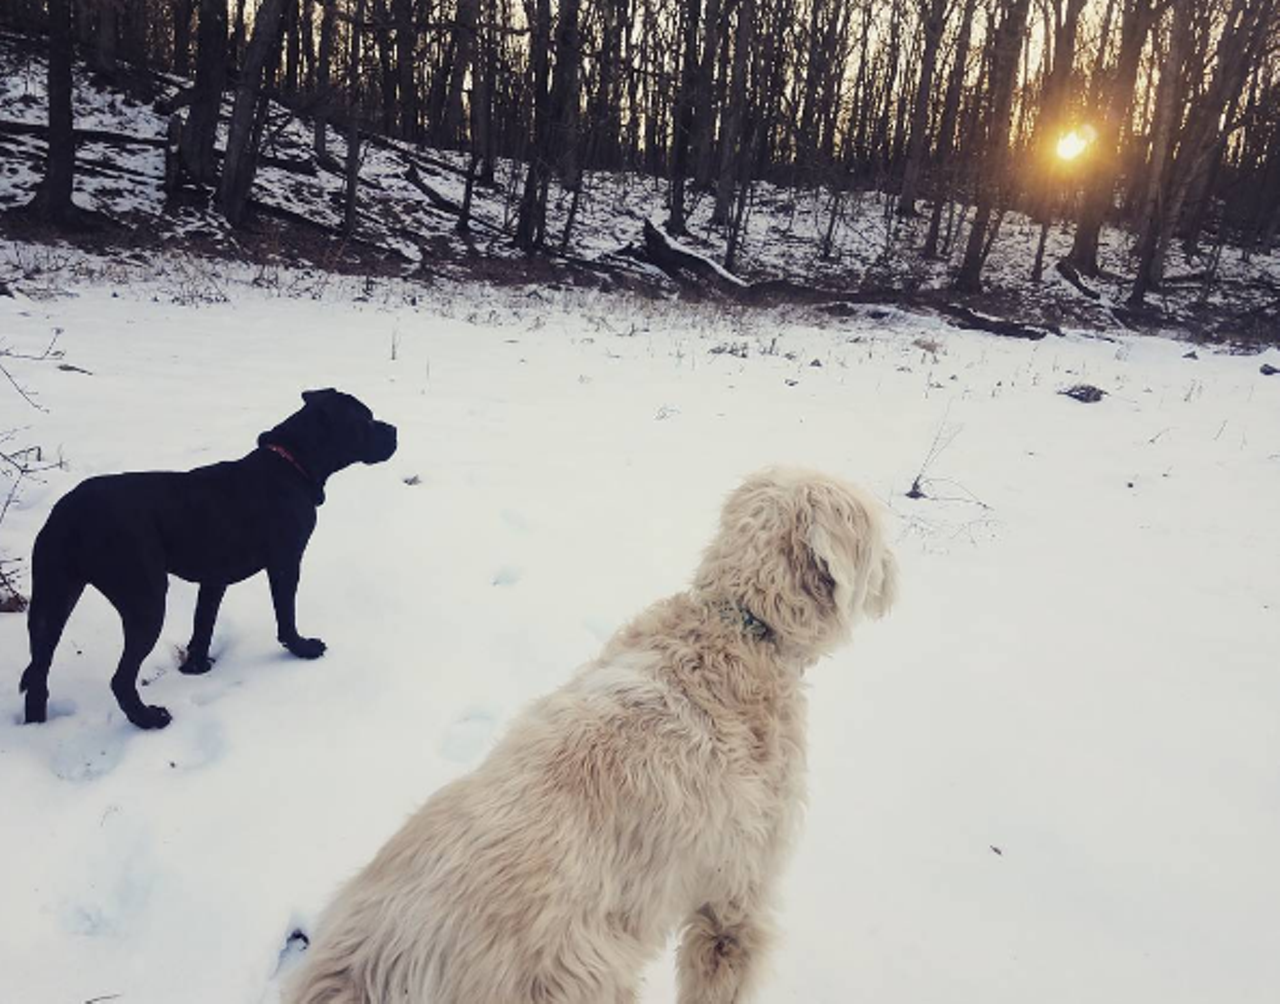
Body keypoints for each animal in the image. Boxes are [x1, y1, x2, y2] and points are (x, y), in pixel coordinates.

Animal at [18, 389, 394, 727]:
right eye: (365, 419)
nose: (394, 430)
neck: (292, 463)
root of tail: (71, 516)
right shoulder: (286, 562)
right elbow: (285, 616)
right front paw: (302, 648)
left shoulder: (214, 578)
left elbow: (204, 623)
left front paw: (196, 666)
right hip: (145, 598)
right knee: (120, 679)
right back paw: (148, 718)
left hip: (54, 598)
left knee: (38, 672)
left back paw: (37, 726)